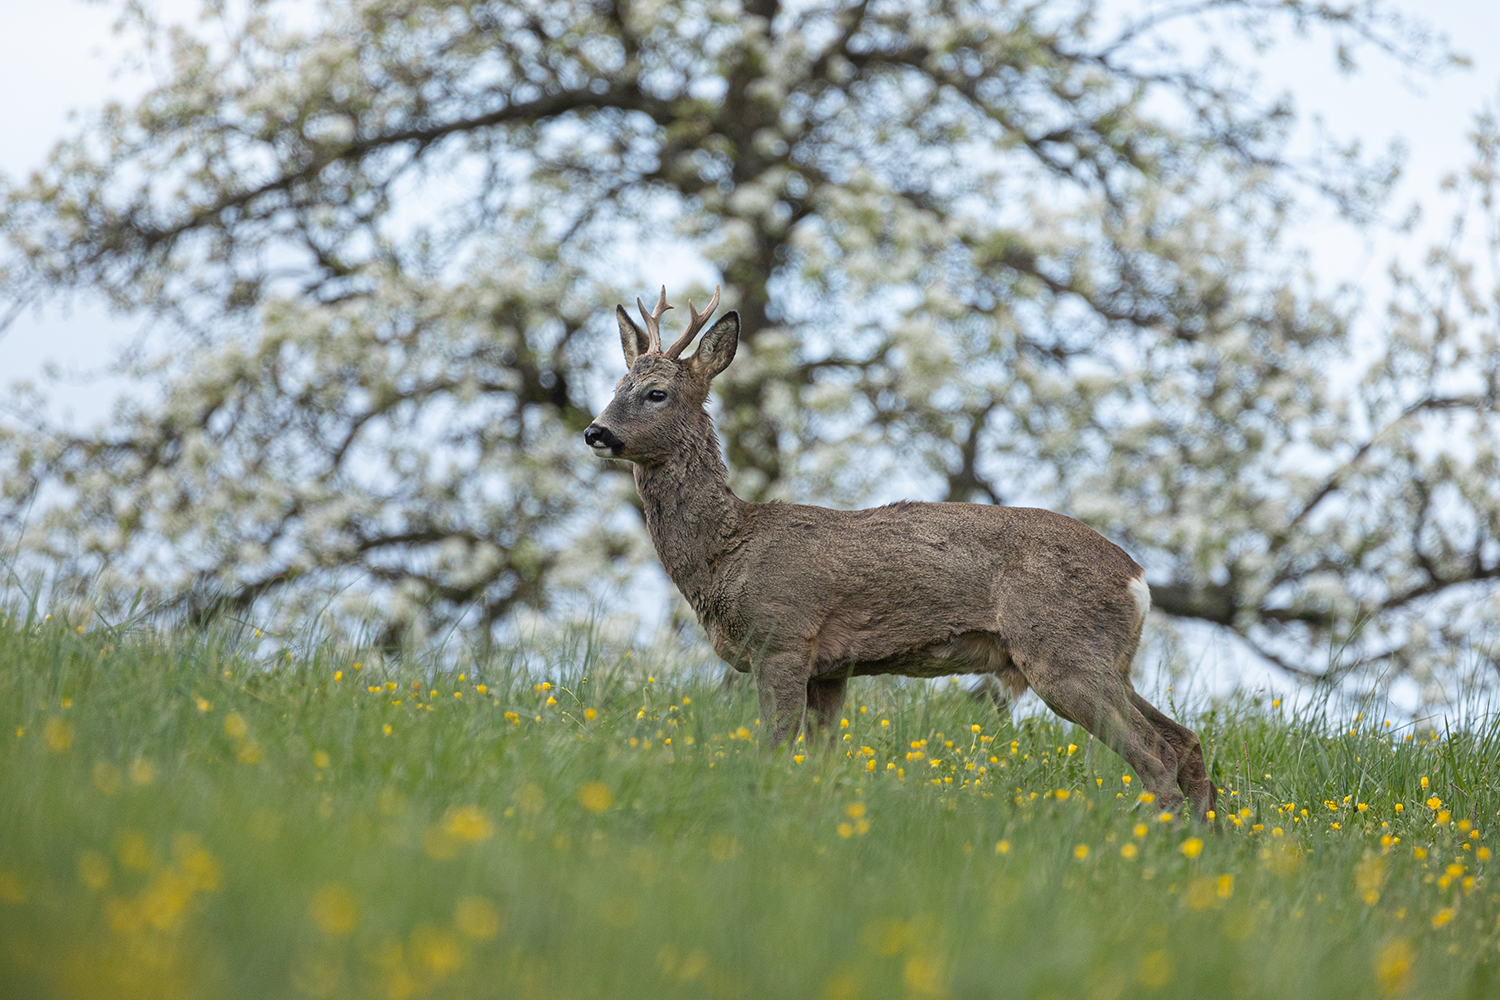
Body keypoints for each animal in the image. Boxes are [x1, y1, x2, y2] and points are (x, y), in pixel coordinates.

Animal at [585, 287, 1218, 821]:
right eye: (614, 388)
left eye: (657, 393)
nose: (595, 431)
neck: (726, 551)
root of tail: (1137, 578)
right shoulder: (831, 667)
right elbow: (819, 760)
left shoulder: (783, 637)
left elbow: (775, 749)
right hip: (1106, 657)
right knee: (1186, 741)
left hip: (1062, 648)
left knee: (1155, 753)